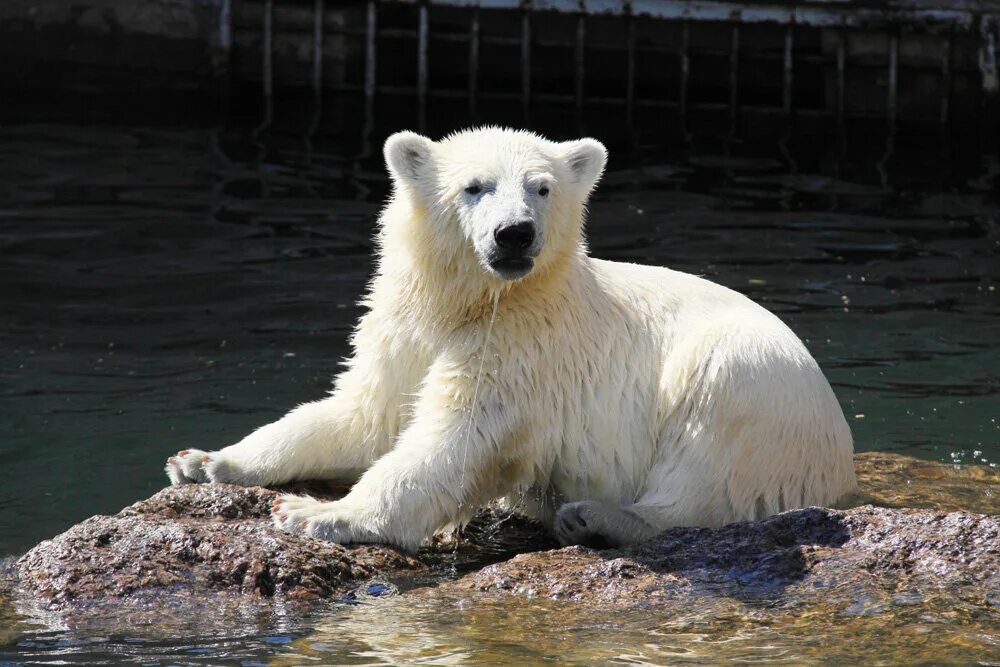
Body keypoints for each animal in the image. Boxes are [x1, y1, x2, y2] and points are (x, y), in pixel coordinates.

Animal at [164, 128, 852, 552]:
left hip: (755, 382)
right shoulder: (401, 330)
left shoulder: (523, 345)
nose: (515, 233)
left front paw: (315, 514)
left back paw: (594, 516)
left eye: (541, 188)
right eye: (474, 186)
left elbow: (456, 438)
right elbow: (362, 414)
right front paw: (204, 460)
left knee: (707, 455)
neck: (471, 302)